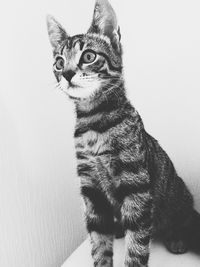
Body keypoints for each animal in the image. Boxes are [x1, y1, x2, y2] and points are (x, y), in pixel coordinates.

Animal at [47, 0, 200, 267]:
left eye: (88, 56)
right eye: (58, 62)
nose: (66, 74)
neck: (93, 123)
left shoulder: (135, 186)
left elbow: (136, 244)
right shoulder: (91, 190)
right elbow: (98, 240)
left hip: (176, 199)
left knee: (185, 218)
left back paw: (177, 238)